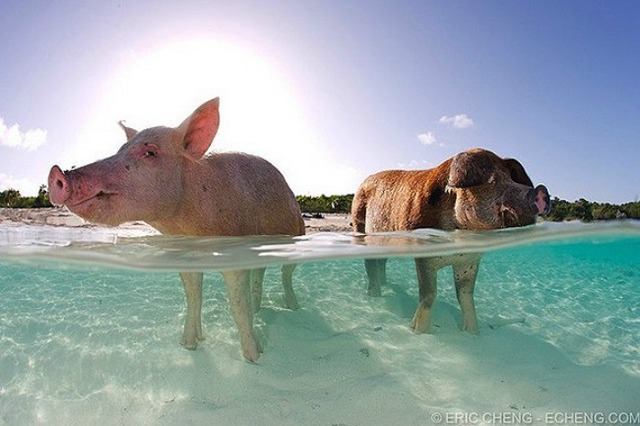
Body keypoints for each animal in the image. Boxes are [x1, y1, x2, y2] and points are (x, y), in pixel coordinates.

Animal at [48, 98, 305, 362]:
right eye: (119, 150)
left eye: (150, 152)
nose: (58, 172)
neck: (192, 229)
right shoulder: (184, 255)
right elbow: (193, 298)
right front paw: (189, 345)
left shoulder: (235, 252)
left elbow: (237, 306)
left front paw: (253, 358)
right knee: (259, 274)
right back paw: (259, 309)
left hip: (297, 234)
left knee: (286, 274)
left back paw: (293, 307)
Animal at [351, 148, 550, 335]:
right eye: (493, 181)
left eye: (512, 179)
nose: (541, 190)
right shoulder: (424, 256)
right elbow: (429, 294)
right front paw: (418, 331)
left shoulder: (469, 261)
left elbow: (466, 296)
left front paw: (473, 334)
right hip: (359, 223)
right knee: (370, 264)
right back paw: (375, 295)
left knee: (381, 262)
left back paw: (384, 284)